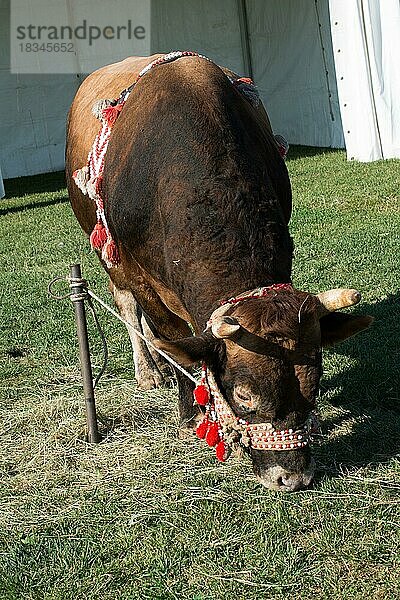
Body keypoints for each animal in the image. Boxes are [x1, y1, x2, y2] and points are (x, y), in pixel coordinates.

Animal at [66, 52, 372, 492]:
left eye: (314, 383)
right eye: (243, 395)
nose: (293, 477)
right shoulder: (139, 274)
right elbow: (169, 337)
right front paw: (191, 409)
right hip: (106, 254)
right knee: (128, 309)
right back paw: (149, 372)